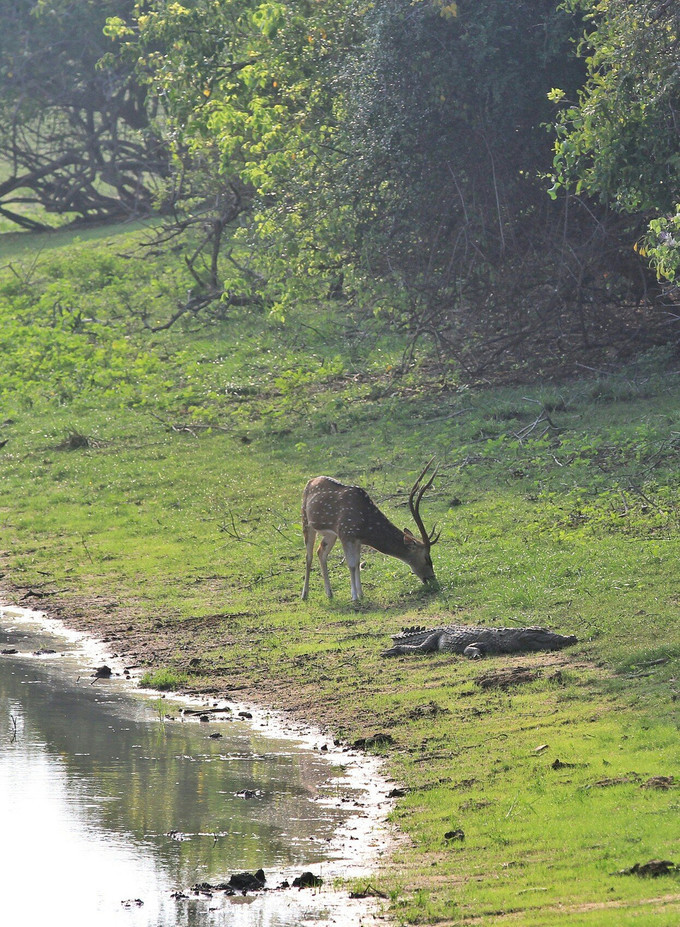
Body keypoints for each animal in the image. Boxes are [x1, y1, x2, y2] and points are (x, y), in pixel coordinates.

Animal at [298, 462, 438, 600]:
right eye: (426, 557)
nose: (433, 579)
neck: (365, 526)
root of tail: (310, 481)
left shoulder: (357, 539)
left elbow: (357, 563)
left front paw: (361, 593)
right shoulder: (346, 533)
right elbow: (351, 564)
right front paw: (354, 596)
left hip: (330, 534)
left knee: (320, 551)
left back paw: (329, 593)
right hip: (305, 519)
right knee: (308, 555)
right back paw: (304, 594)